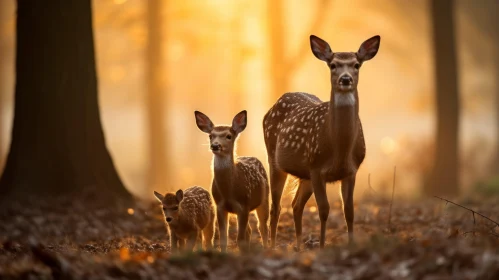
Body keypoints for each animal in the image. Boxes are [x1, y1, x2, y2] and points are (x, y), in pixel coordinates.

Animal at [264, 35, 380, 249]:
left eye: (356, 64)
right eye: (333, 65)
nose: (345, 79)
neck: (339, 149)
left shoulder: (351, 170)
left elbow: (349, 210)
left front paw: (350, 244)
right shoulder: (317, 167)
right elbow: (324, 209)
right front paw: (322, 246)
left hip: (305, 174)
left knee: (296, 205)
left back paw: (299, 246)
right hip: (275, 161)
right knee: (276, 207)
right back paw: (272, 246)